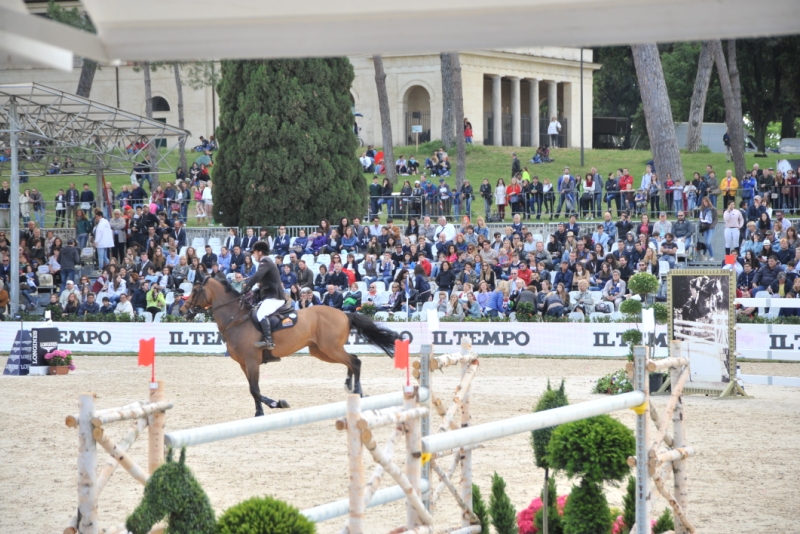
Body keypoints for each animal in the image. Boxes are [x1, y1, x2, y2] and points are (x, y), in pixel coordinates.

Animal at [179, 278, 396, 420]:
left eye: (196, 289)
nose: (182, 310)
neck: (236, 319)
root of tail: (344, 313)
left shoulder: (252, 361)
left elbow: (255, 389)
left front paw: (261, 412)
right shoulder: (244, 364)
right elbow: (253, 390)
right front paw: (275, 404)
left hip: (330, 348)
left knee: (355, 361)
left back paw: (357, 391)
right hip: (321, 351)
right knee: (351, 360)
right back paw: (350, 387)